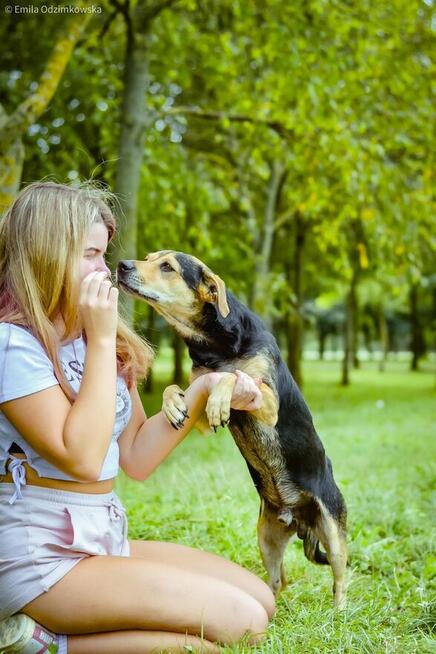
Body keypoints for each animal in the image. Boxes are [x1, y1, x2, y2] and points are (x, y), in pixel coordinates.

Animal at [116, 252, 348, 608]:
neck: (216, 345)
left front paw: (220, 401)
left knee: (340, 576)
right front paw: (172, 405)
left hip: (332, 529)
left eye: (167, 266)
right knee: (278, 581)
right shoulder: (199, 398)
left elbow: (233, 377)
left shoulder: (267, 401)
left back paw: (339, 611)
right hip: (266, 537)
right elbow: (179, 387)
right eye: (148, 258)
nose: (121, 265)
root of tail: (297, 517)